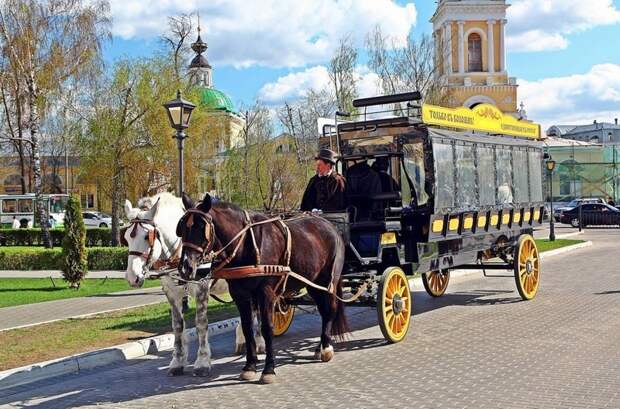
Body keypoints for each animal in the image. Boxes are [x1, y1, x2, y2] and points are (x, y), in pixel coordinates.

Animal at [124, 192, 262, 376]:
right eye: (126, 237)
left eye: (147, 236)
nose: (133, 277)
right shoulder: (172, 292)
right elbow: (177, 325)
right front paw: (177, 361)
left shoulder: (202, 289)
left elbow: (201, 324)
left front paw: (202, 361)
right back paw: (242, 339)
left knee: (256, 309)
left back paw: (259, 341)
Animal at [177, 193, 348, 384]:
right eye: (182, 228)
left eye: (201, 227)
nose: (186, 267)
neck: (246, 244)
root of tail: (329, 225)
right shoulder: (240, 295)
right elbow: (247, 327)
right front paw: (250, 366)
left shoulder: (266, 293)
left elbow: (267, 328)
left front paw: (268, 369)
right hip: (312, 283)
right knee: (324, 311)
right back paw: (320, 347)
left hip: (328, 282)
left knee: (329, 310)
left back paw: (326, 348)